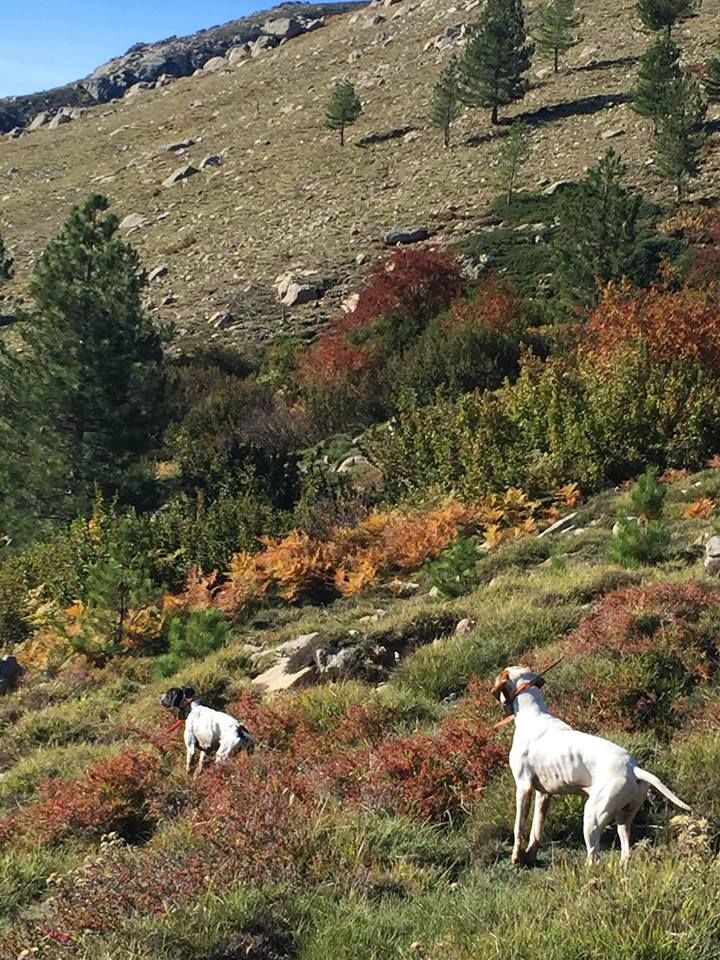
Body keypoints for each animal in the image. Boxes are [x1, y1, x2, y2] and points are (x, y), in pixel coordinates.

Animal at [492, 668, 688, 864]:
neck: (533, 714)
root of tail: (634, 768)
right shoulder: (544, 794)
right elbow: (536, 830)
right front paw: (530, 855)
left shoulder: (523, 787)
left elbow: (519, 827)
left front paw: (516, 857)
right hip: (624, 818)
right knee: (625, 851)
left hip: (592, 816)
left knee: (594, 857)